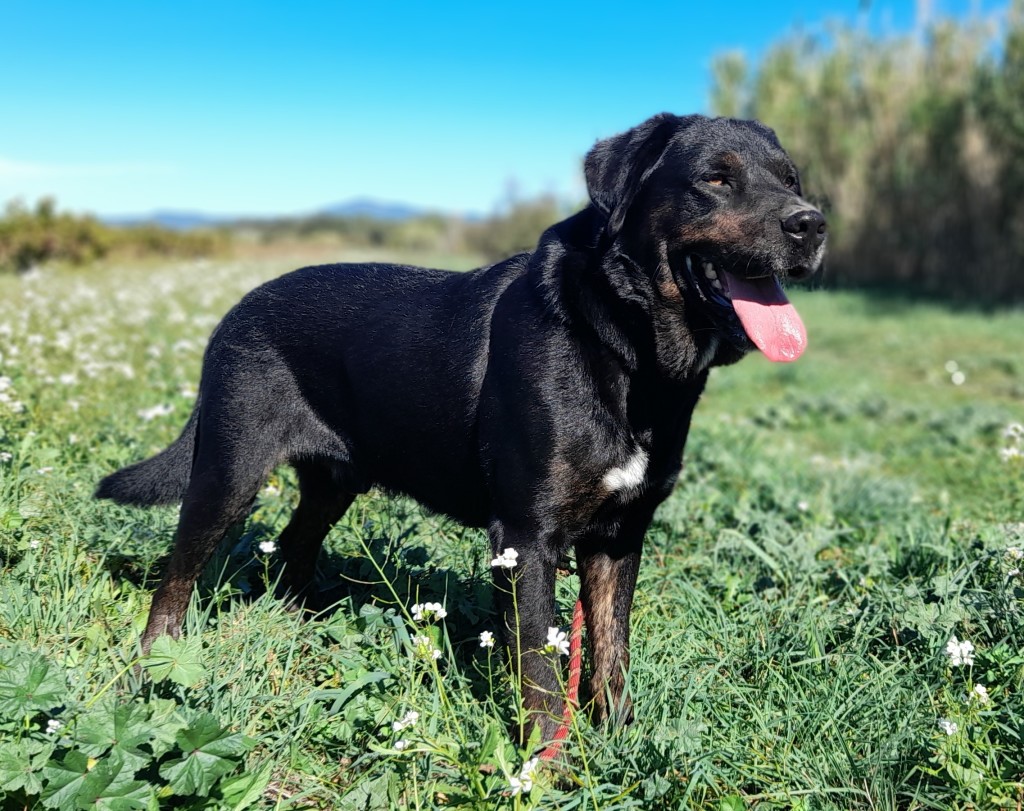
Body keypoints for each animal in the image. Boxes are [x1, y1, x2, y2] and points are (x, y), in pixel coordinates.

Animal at [97, 112, 823, 741]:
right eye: (717, 178)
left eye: (791, 179)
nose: (811, 224)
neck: (624, 350)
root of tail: (235, 310)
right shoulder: (526, 537)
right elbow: (539, 671)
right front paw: (545, 768)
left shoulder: (619, 535)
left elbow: (611, 654)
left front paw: (619, 746)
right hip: (229, 471)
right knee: (176, 578)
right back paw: (152, 668)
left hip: (335, 482)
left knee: (294, 551)